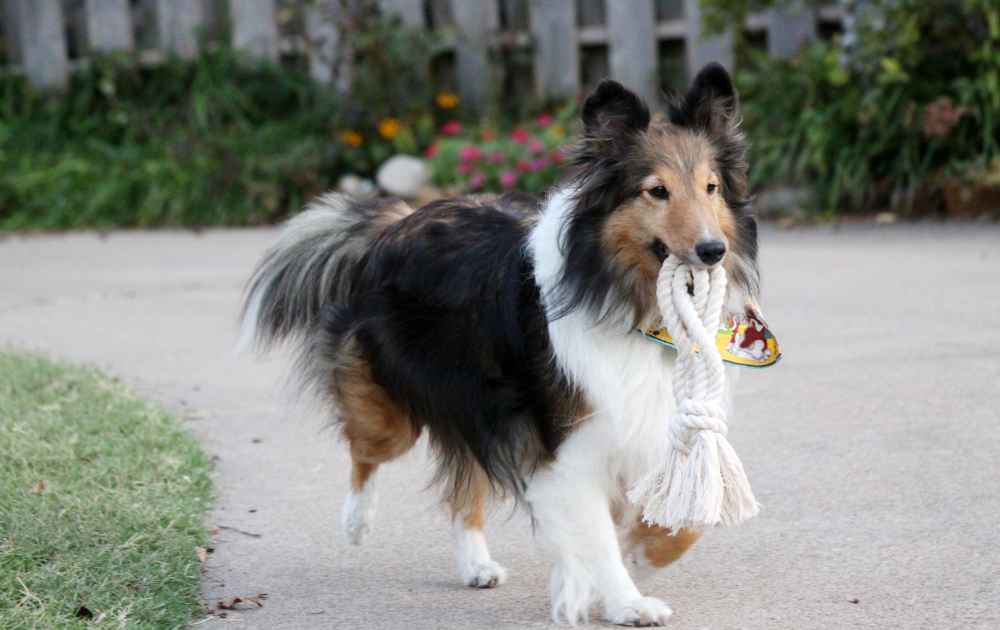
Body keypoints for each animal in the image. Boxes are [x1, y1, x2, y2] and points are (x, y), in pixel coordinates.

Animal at [240, 63, 756, 628]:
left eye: (710, 187)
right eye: (656, 191)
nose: (712, 250)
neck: (624, 296)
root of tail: (395, 224)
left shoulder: (650, 419)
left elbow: (686, 521)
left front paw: (642, 551)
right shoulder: (573, 447)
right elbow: (597, 534)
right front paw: (626, 600)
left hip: (478, 404)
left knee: (465, 486)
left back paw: (476, 564)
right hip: (399, 408)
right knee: (366, 453)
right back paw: (356, 521)